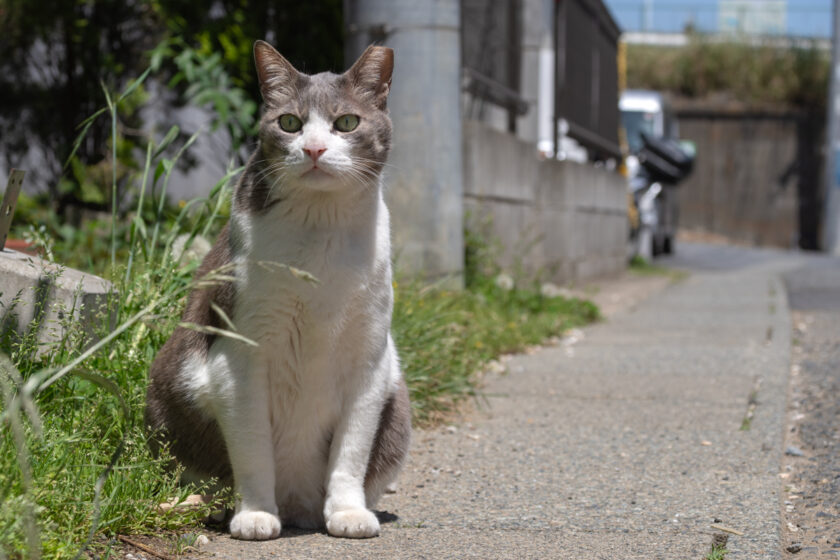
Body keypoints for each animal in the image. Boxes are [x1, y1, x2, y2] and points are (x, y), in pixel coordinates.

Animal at [145, 41, 414, 540]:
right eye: (289, 122)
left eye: (347, 122)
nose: (313, 148)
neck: (320, 230)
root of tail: (298, 507)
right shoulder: (238, 358)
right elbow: (253, 449)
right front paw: (254, 515)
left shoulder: (369, 360)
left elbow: (351, 451)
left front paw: (348, 514)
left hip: (399, 408)